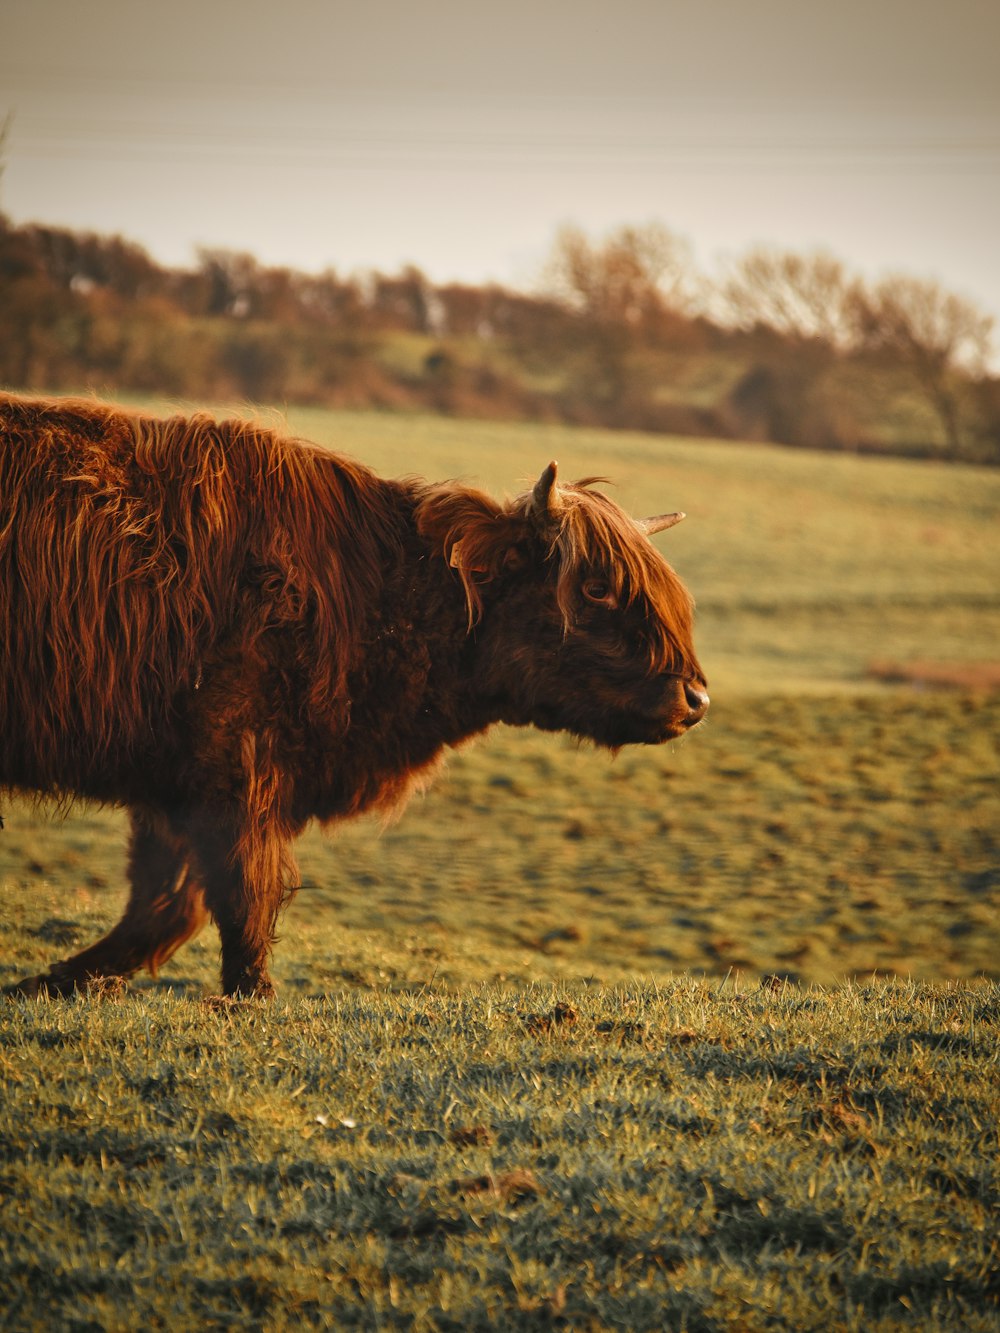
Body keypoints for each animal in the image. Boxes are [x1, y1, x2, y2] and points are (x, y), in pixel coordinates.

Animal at [0, 389, 704, 997]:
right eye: (595, 589)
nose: (696, 698)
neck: (379, 595)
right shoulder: (231, 763)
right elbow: (234, 895)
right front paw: (249, 998)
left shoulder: (177, 776)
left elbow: (168, 902)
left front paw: (51, 982)